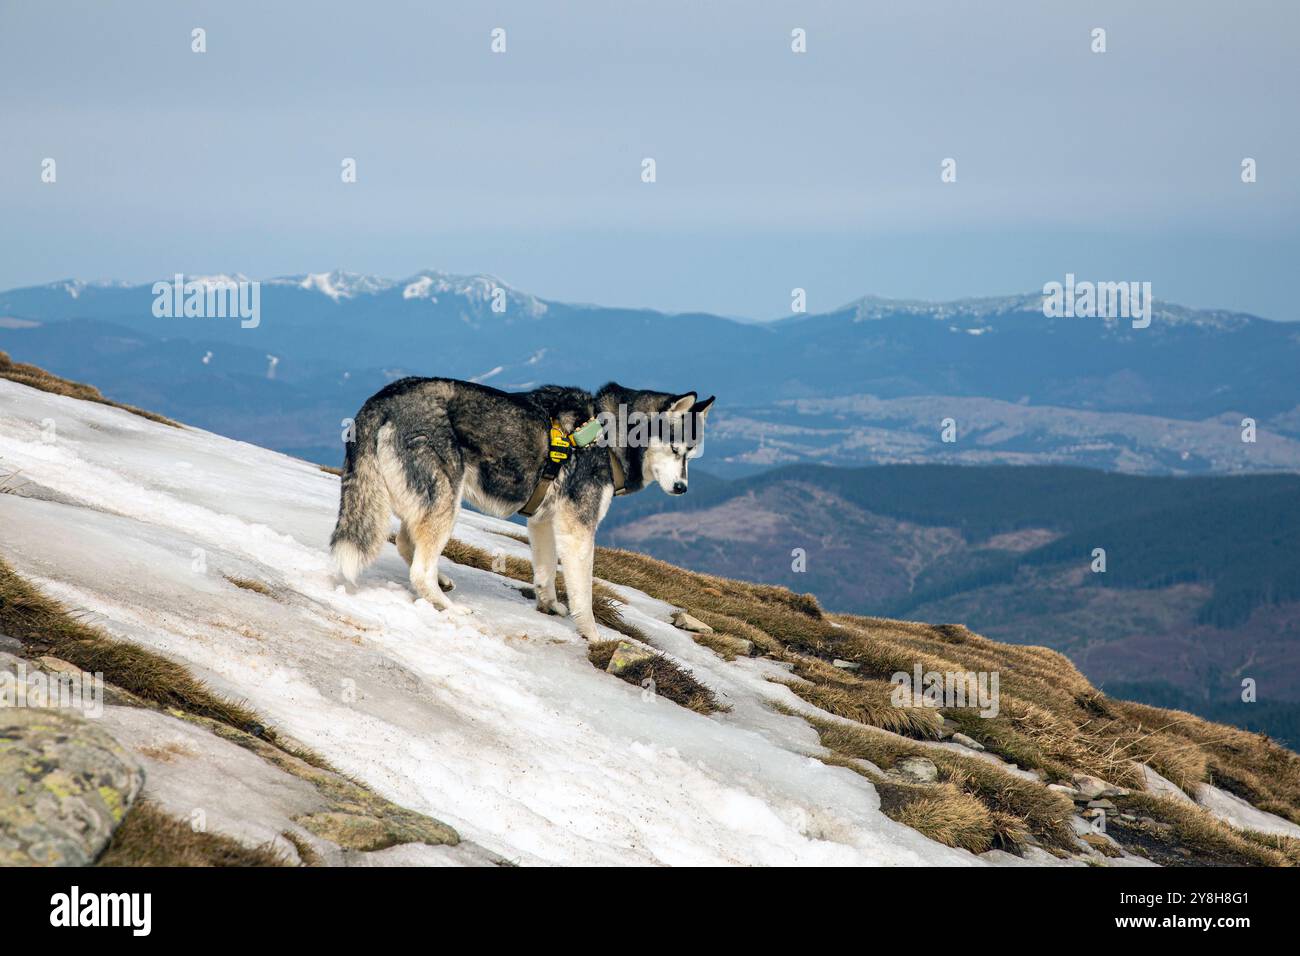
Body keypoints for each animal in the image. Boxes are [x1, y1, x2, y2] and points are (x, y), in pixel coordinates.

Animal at [325, 377, 712, 639]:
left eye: (691, 454)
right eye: (676, 450)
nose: (682, 488)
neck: (608, 434)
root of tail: (382, 398)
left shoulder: (544, 523)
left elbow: (545, 574)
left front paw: (549, 606)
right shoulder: (578, 529)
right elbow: (584, 594)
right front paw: (592, 636)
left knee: (408, 544)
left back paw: (442, 581)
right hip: (446, 500)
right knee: (419, 567)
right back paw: (449, 607)